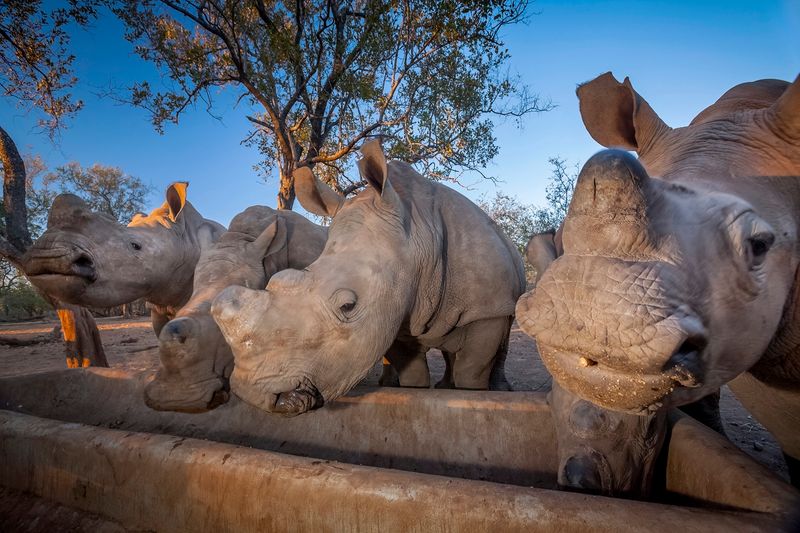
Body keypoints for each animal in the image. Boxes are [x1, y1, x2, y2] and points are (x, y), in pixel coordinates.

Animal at [211, 140, 526, 416]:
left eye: (348, 306)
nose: (253, 394)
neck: (417, 234)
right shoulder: (393, 312)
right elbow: (413, 374)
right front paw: (418, 392)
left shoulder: (488, 310)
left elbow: (472, 372)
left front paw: (471, 396)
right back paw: (443, 387)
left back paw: (498, 390)